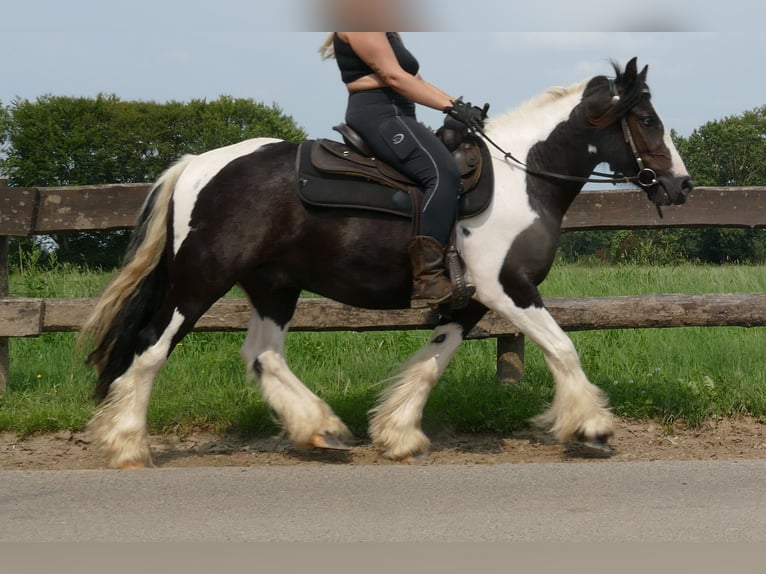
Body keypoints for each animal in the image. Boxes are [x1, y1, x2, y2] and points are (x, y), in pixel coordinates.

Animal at [81, 57, 692, 468]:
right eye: (648, 119)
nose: (681, 185)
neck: (523, 176)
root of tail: (195, 165)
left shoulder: (469, 299)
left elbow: (433, 361)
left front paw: (398, 433)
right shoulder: (508, 288)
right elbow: (563, 347)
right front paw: (592, 427)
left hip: (274, 285)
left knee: (263, 354)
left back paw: (320, 428)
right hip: (202, 279)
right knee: (151, 347)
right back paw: (128, 443)